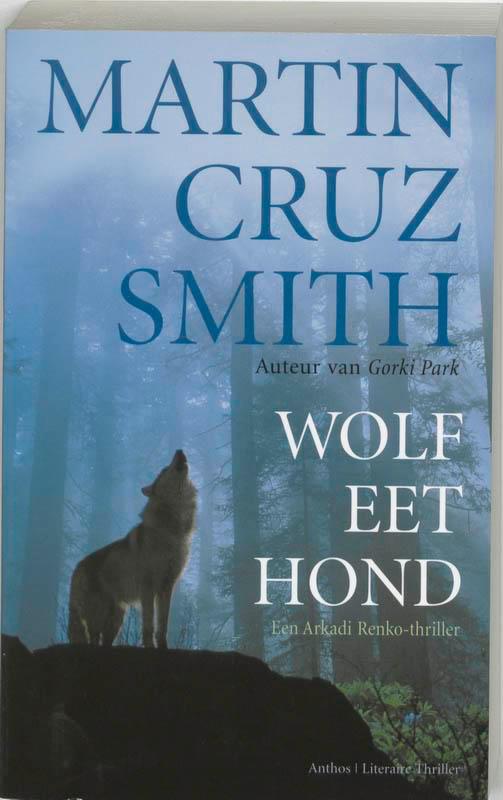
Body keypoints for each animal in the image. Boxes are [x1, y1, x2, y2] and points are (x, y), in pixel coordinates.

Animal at [68, 449, 197, 648]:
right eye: (164, 469)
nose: (179, 450)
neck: (172, 530)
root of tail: (77, 568)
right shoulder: (148, 589)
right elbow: (149, 625)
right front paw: (150, 647)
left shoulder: (166, 587)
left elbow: (163, 626)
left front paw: (163, 647)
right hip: (98, 618)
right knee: (93, 640)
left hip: (116, 620)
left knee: (104, 641)